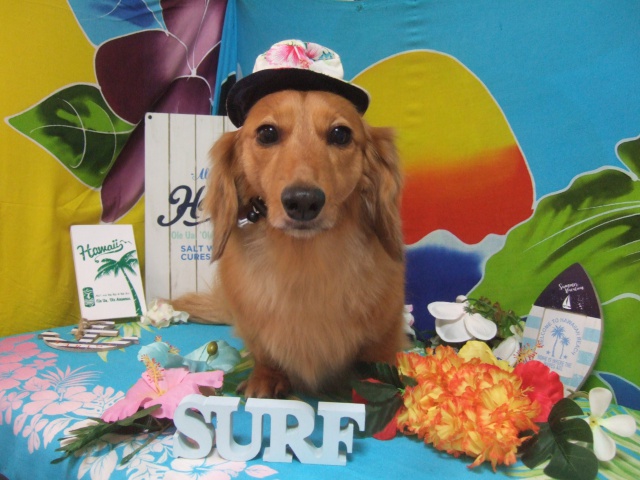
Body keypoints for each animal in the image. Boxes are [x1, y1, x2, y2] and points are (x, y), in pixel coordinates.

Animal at [173, 89, 406, 398]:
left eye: (341, 134)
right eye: (267, 133)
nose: (304, 201)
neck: (303, 263)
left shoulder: (386, 327)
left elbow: (379, 359)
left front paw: (378, 386)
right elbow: (265, 354)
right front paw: (266, 378)